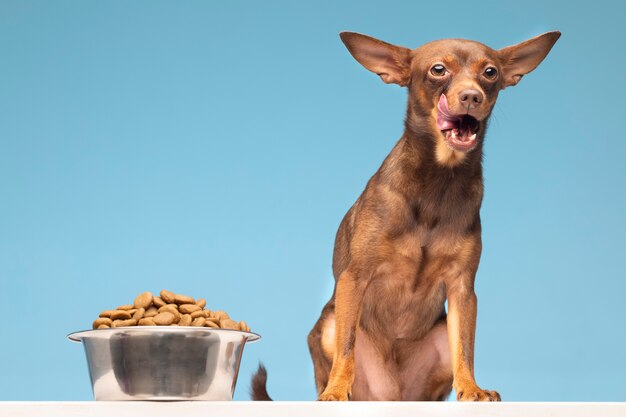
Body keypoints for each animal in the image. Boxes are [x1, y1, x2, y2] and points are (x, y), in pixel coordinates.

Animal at [251, 29, 560, 400]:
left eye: (490, 73)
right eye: (438, 70)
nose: (471, 96)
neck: (438, 182)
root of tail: (393, 396)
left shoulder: (462, 290)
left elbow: (465, 348)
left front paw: (472, 389)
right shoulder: (354, 279)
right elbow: (346, 346)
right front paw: (336, 391)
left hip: (438, 338)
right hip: (329, 324)